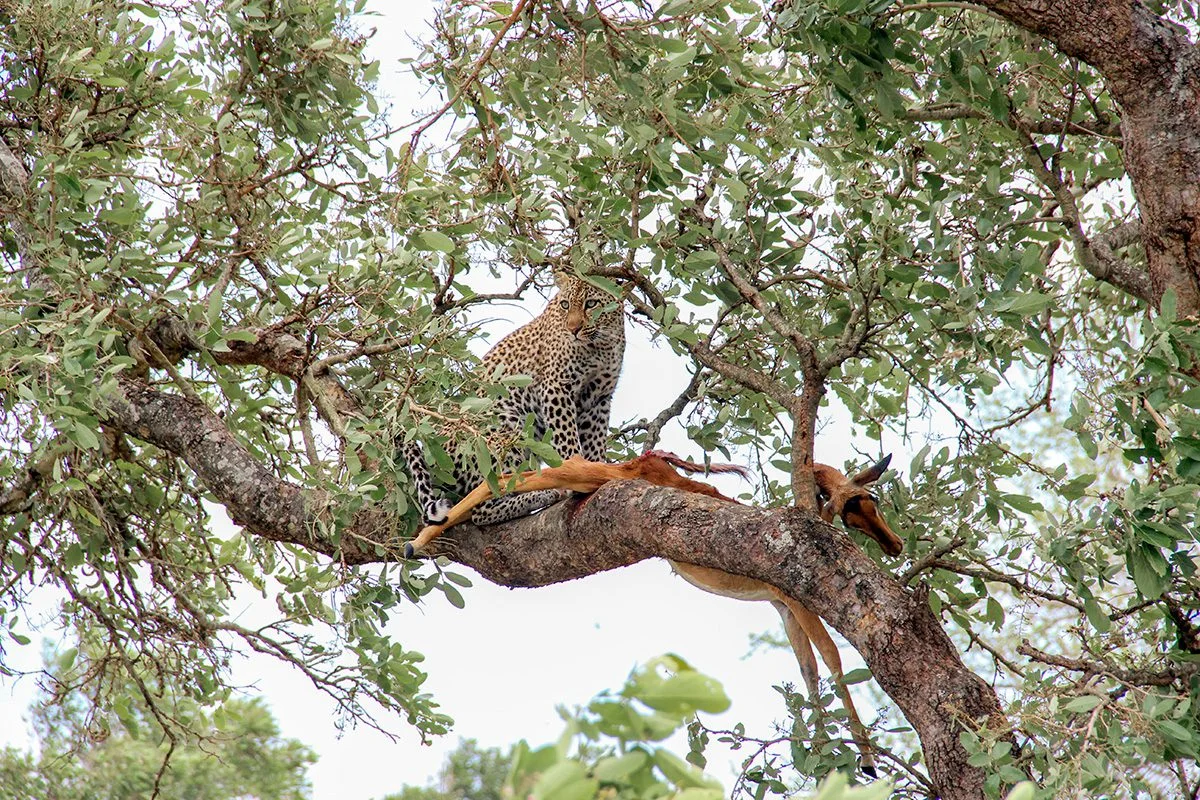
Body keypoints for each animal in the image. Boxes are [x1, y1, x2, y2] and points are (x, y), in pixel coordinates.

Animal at [400, 272, 625, 540]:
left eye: (591, 304)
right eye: (565, 305)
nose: (573, 330)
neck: (600, 345)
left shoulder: (600, 399)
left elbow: (595, 440)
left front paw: (597, 471)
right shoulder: (556, 387)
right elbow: (567, 438)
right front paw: (576, 474)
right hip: (504, 428)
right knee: (483, 507)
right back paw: (544, 494)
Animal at [404, 451, 902, 777]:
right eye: (864, 500)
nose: (895, 544)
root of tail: (650, 457)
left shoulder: (782, 608)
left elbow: (808, 669)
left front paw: (820, 751)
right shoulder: (798, 601)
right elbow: (834, 662)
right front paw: (866, 761)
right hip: (592, 476)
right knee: (518, 474)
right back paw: (421, 536)